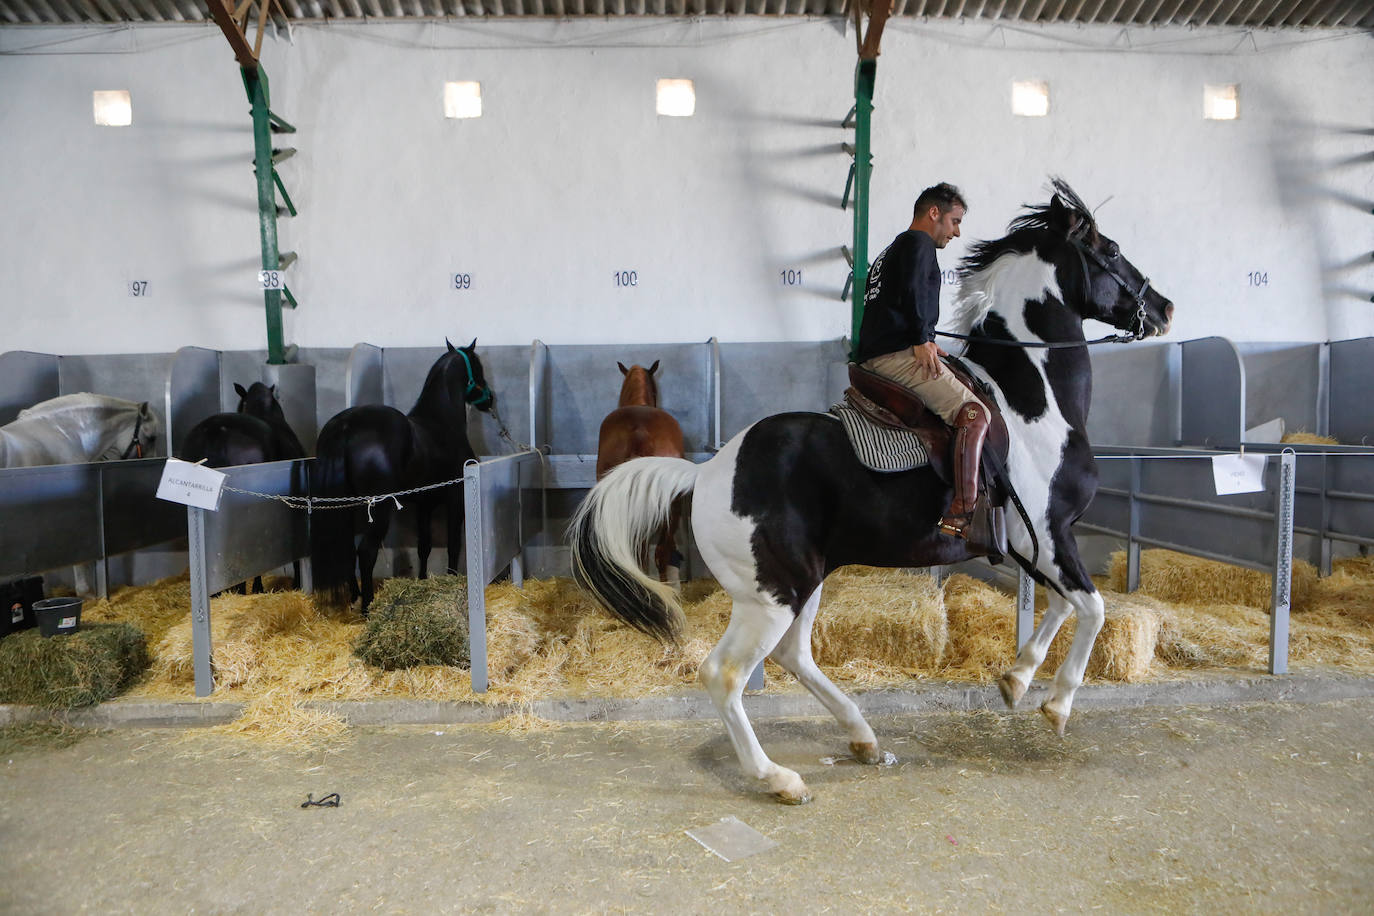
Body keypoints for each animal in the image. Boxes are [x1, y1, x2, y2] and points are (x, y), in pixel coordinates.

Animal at [310, 339, 494, 613]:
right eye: (478, 366)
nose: (490, 399)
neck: (442, 422)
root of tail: (345, 425)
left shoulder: (425, 503)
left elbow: (424, 546)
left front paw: (423, 581)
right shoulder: (454, 497)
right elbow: (453, 544)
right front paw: (451, 580)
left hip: (344, 506)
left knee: (346, 547)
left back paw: (354, 597)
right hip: (380, 508)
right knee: (366, 551)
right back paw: (367, 606)